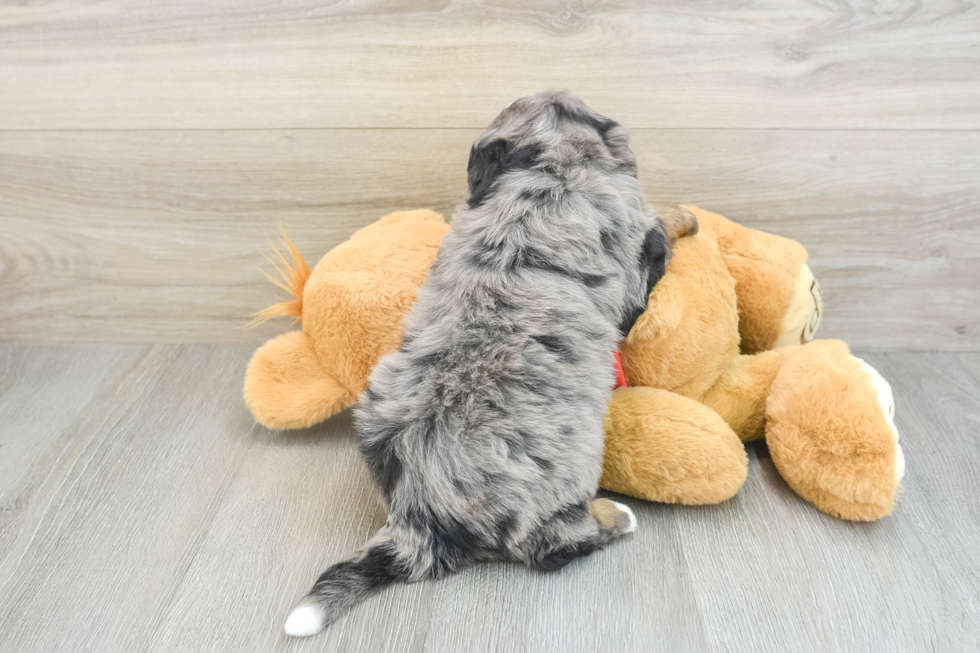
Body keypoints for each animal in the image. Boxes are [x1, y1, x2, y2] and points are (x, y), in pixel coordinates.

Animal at [286, 89, 696, 636]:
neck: (550, 166)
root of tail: (416, 518)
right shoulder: (633, 270)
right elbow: (657, 235)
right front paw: (682, 215)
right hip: (565, 478)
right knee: (553, 547)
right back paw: (614, 516)